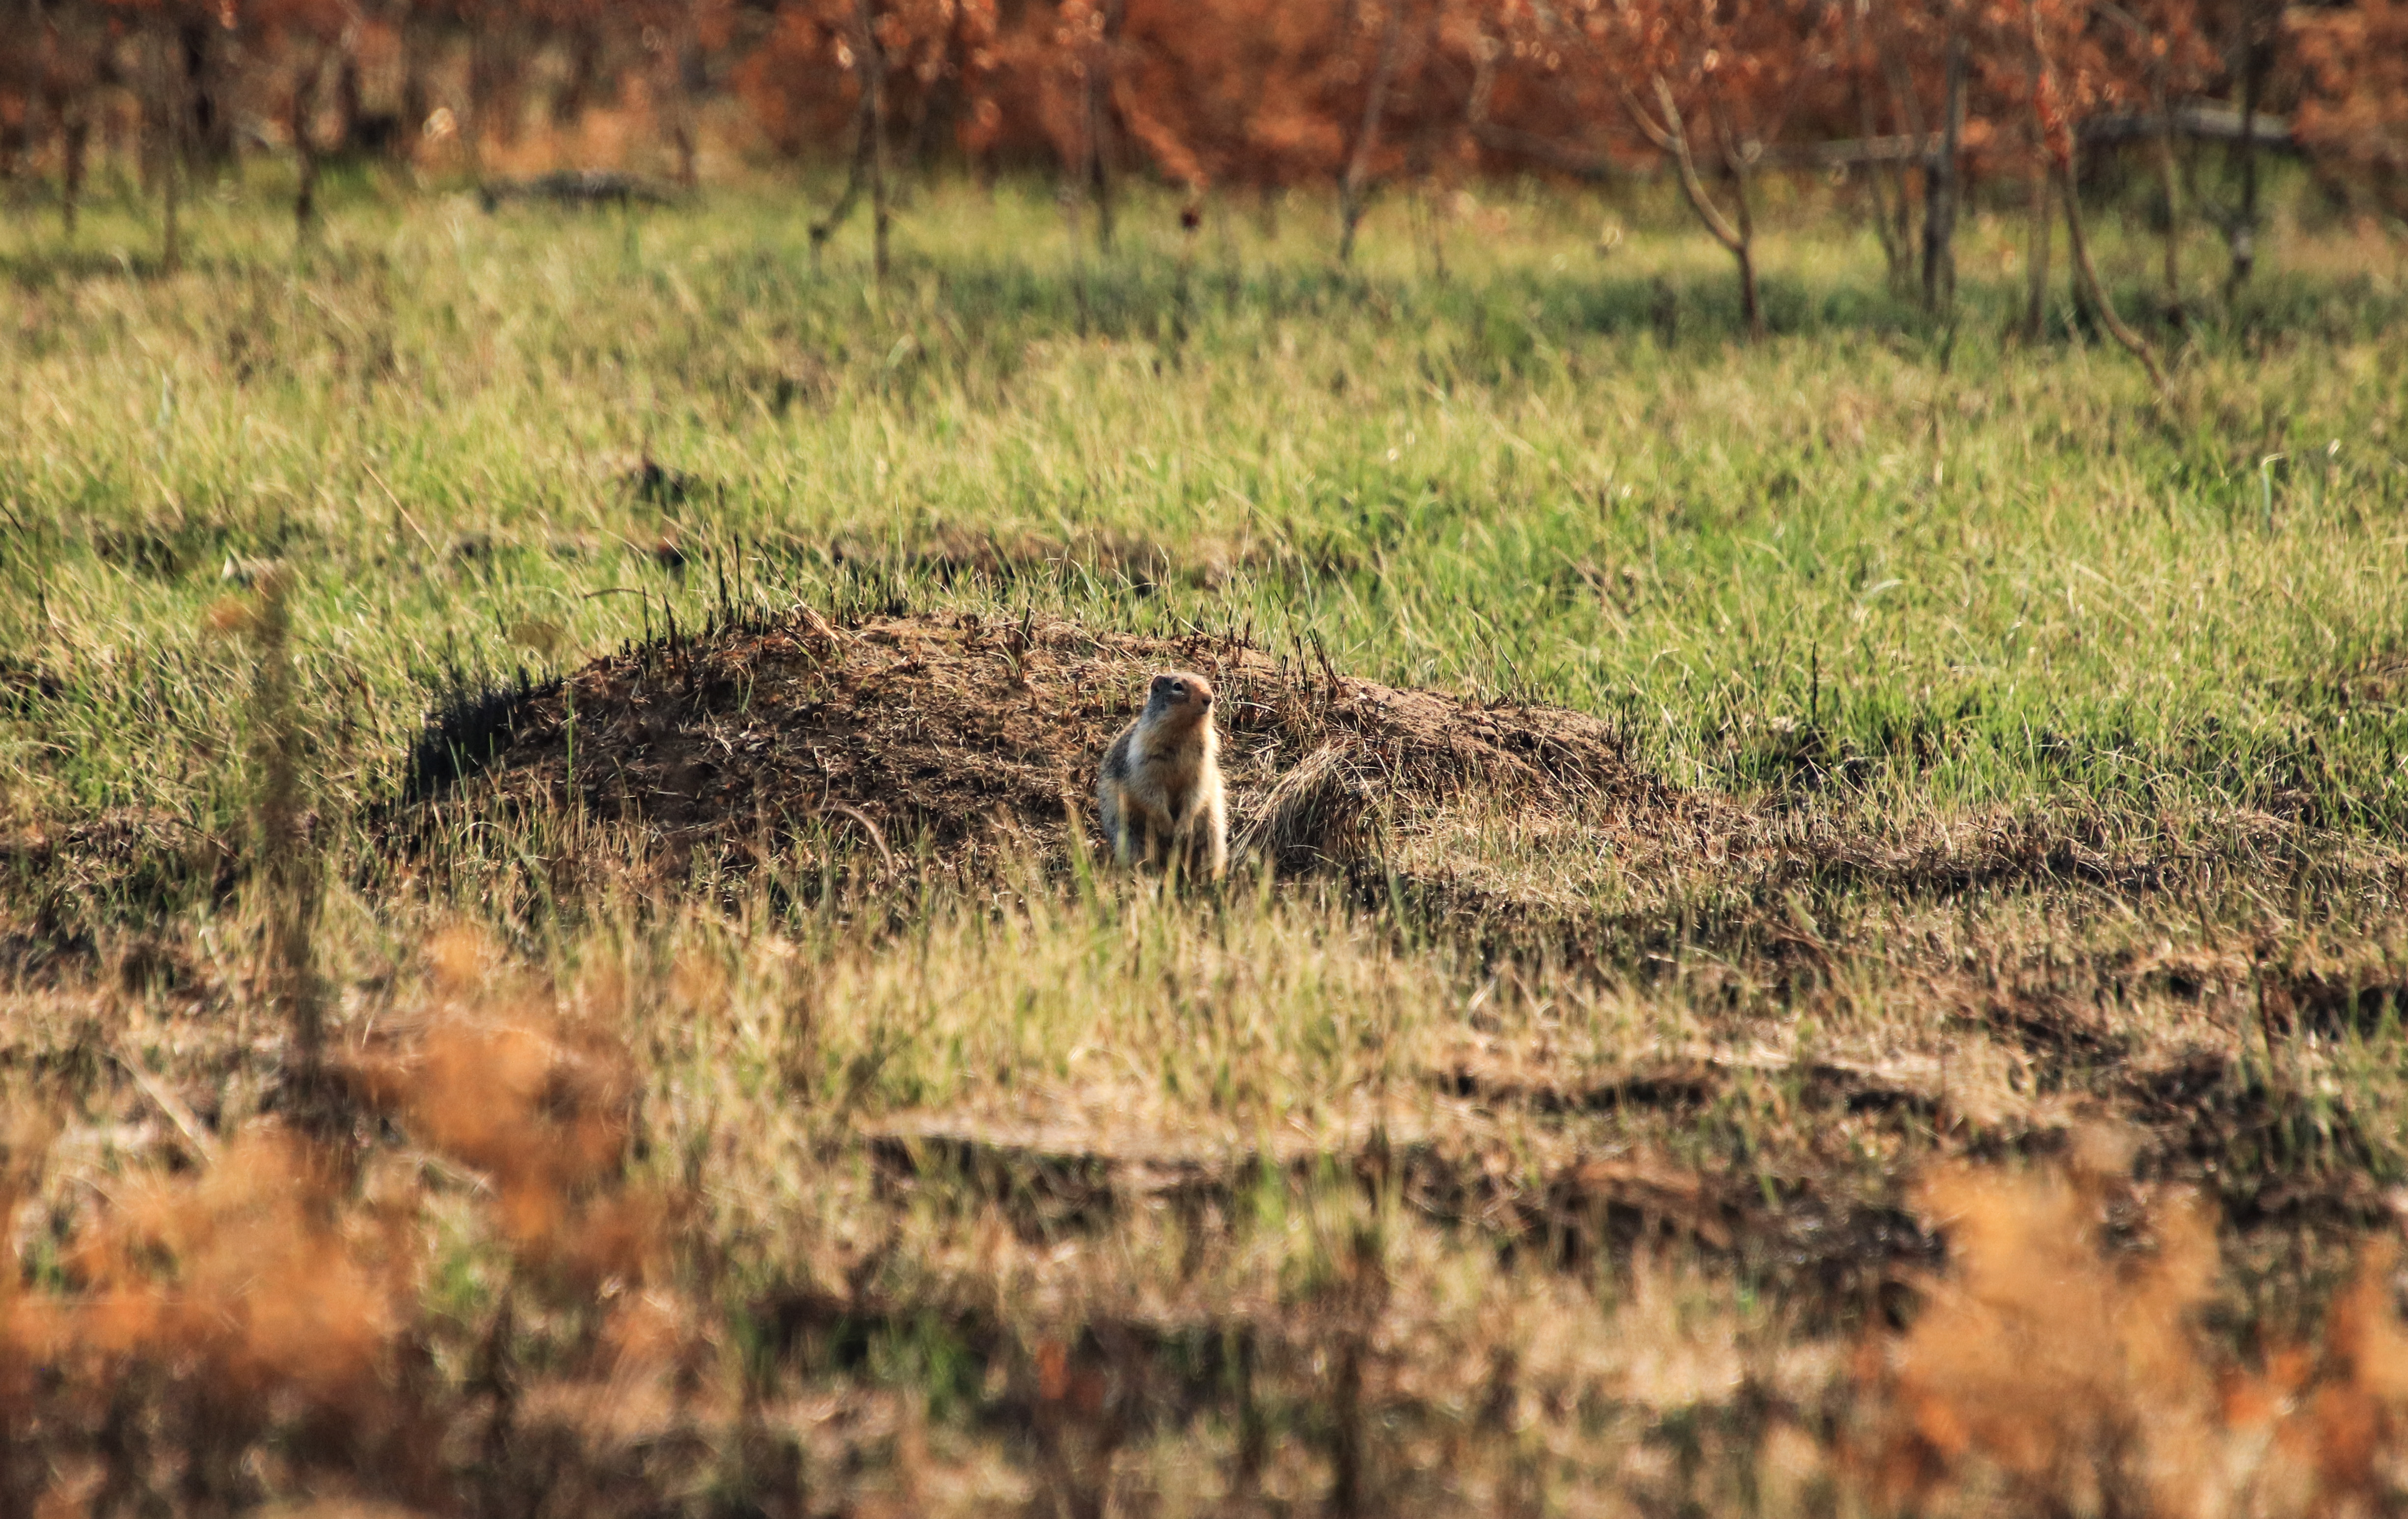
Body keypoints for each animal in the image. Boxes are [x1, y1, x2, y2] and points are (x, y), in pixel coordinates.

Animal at [1103, 674, 1233, 886]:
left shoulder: (1202, 766)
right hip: (1130, 835)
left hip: (1212, 831)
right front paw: (1168, 827)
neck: (1184, 731)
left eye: (1207, 683)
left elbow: (1195, 792)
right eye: (1178, 686)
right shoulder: (1144, 763)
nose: (1209, 698)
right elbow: (1150, 794)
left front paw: (1182, 829)